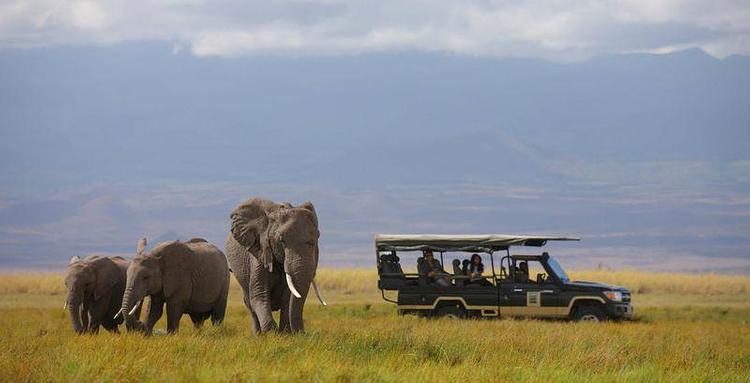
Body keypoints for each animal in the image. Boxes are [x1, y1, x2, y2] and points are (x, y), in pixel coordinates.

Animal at [226, 198, 326, 332]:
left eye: (316, 239)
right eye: (281, 240)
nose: (302, 332)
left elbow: (288, 297)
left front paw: (286, 333)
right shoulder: (259, 251)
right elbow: (259, 294)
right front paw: (272, 333)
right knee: (250, 304)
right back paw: (258, 334)